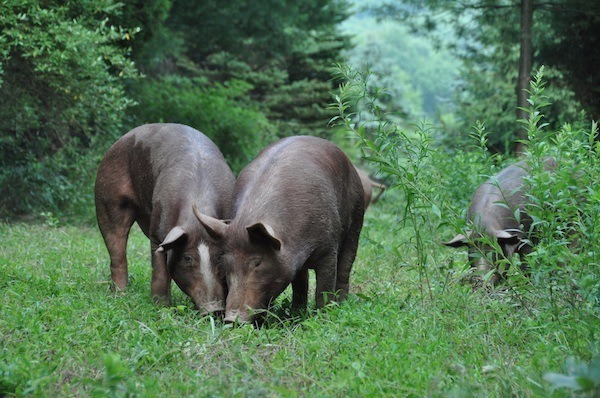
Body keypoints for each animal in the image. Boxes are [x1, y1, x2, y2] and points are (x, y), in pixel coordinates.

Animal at [94, 123, 234, 312]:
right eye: (187, 258)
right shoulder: (158, 233)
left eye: (219, 256)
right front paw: (162, 308)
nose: (214, 309)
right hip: (106, 196)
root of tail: (115, 144)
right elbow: (160, 270)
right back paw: (120, 296)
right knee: (117, 248)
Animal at [195, 136, 364, 324]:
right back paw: (297, 312)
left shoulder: (328, 250)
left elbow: (324, 287)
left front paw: (324, 316)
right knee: (301, 281)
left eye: (258, 262)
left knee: (346, 265)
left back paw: (341, 304)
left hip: (357, 218)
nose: (232, 319)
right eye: (226, 264)